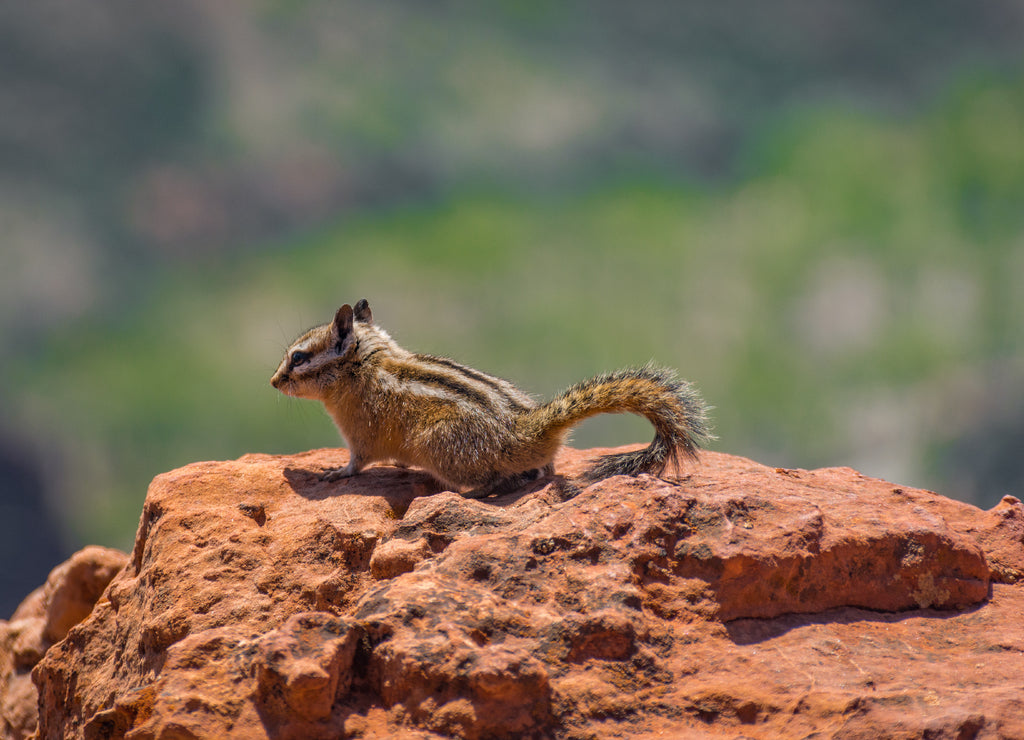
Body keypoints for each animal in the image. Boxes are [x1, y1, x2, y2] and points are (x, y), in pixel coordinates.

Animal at [271, 299, 712, 497]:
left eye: (299, 357)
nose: (273, 381)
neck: (368, 365)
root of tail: (526, 430)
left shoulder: (360, 434)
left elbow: (356, 463)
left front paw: (334, 472)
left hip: (439, 446)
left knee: (494, 482)